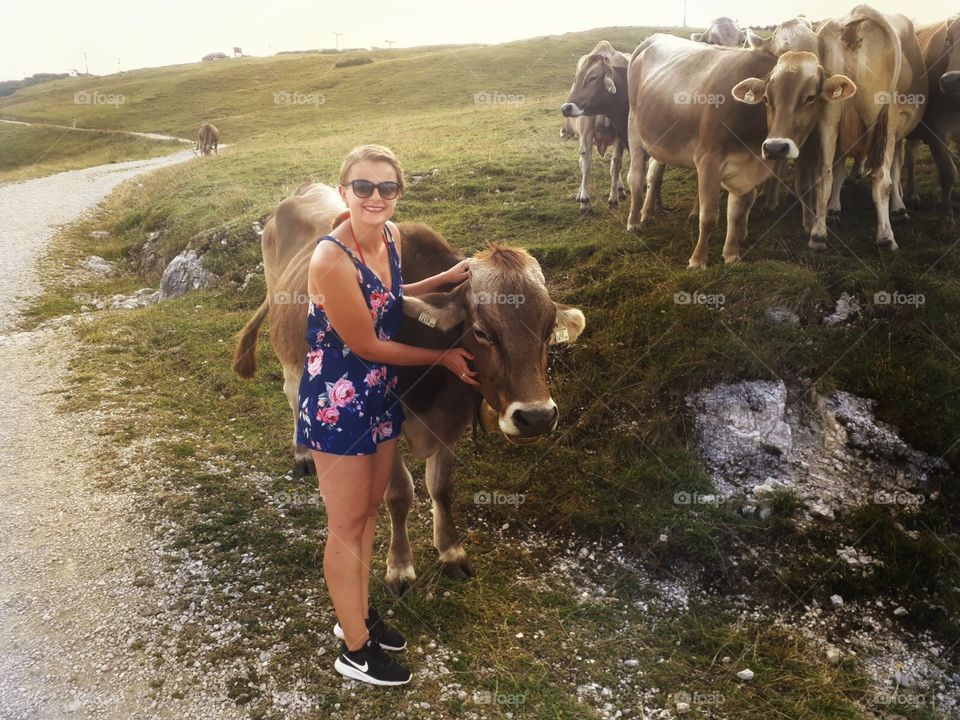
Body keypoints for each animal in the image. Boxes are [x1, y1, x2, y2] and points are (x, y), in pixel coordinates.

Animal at [231, 184, 586, 595]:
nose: (537, 417)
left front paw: (451, 551)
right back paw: (304, 453)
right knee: (292, 396)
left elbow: (441, 487)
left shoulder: (452, 422)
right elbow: (400, 494)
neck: (433, 388)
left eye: (547, 330)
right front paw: (400, 568)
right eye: (482, 331)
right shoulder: (385, 426)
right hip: (290, 354)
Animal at [560, 41, 632, 212]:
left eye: (593, 77)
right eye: (576, 79)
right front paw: (585, 200)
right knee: (581, 162)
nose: (566, 108)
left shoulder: (620, 134)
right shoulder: (585, 133)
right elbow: (586, 163)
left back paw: (620, 189)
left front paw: (613, 198)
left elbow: (616, 164)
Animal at [626, 34, 855, 268]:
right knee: (635, 177)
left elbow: (736, 213)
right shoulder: (709, 161)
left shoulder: (746, 169)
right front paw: (698, 260)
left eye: (810, 98)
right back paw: (634, 222)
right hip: (634, 132)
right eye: (766, 98)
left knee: (654, 174)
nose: (775, 147)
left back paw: (647, 212)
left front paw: (731, 255)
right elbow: (709, 216)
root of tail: (654, 38)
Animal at [795, 5, 927, 252]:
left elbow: (838, 172)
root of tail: (856, 17)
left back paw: (818, 236)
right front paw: (899, 209)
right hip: (886, 122)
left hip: (828, 119)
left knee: (824, 175)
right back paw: (886, 237)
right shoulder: (897, 133)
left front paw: (834, 209)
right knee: (882, 179)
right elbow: (896, 169)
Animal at [903, 16, 960, 230]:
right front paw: (947, 217)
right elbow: (948, 172)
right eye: (948, 40)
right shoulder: (937, 130)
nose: (951, 80)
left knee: (910, 155)